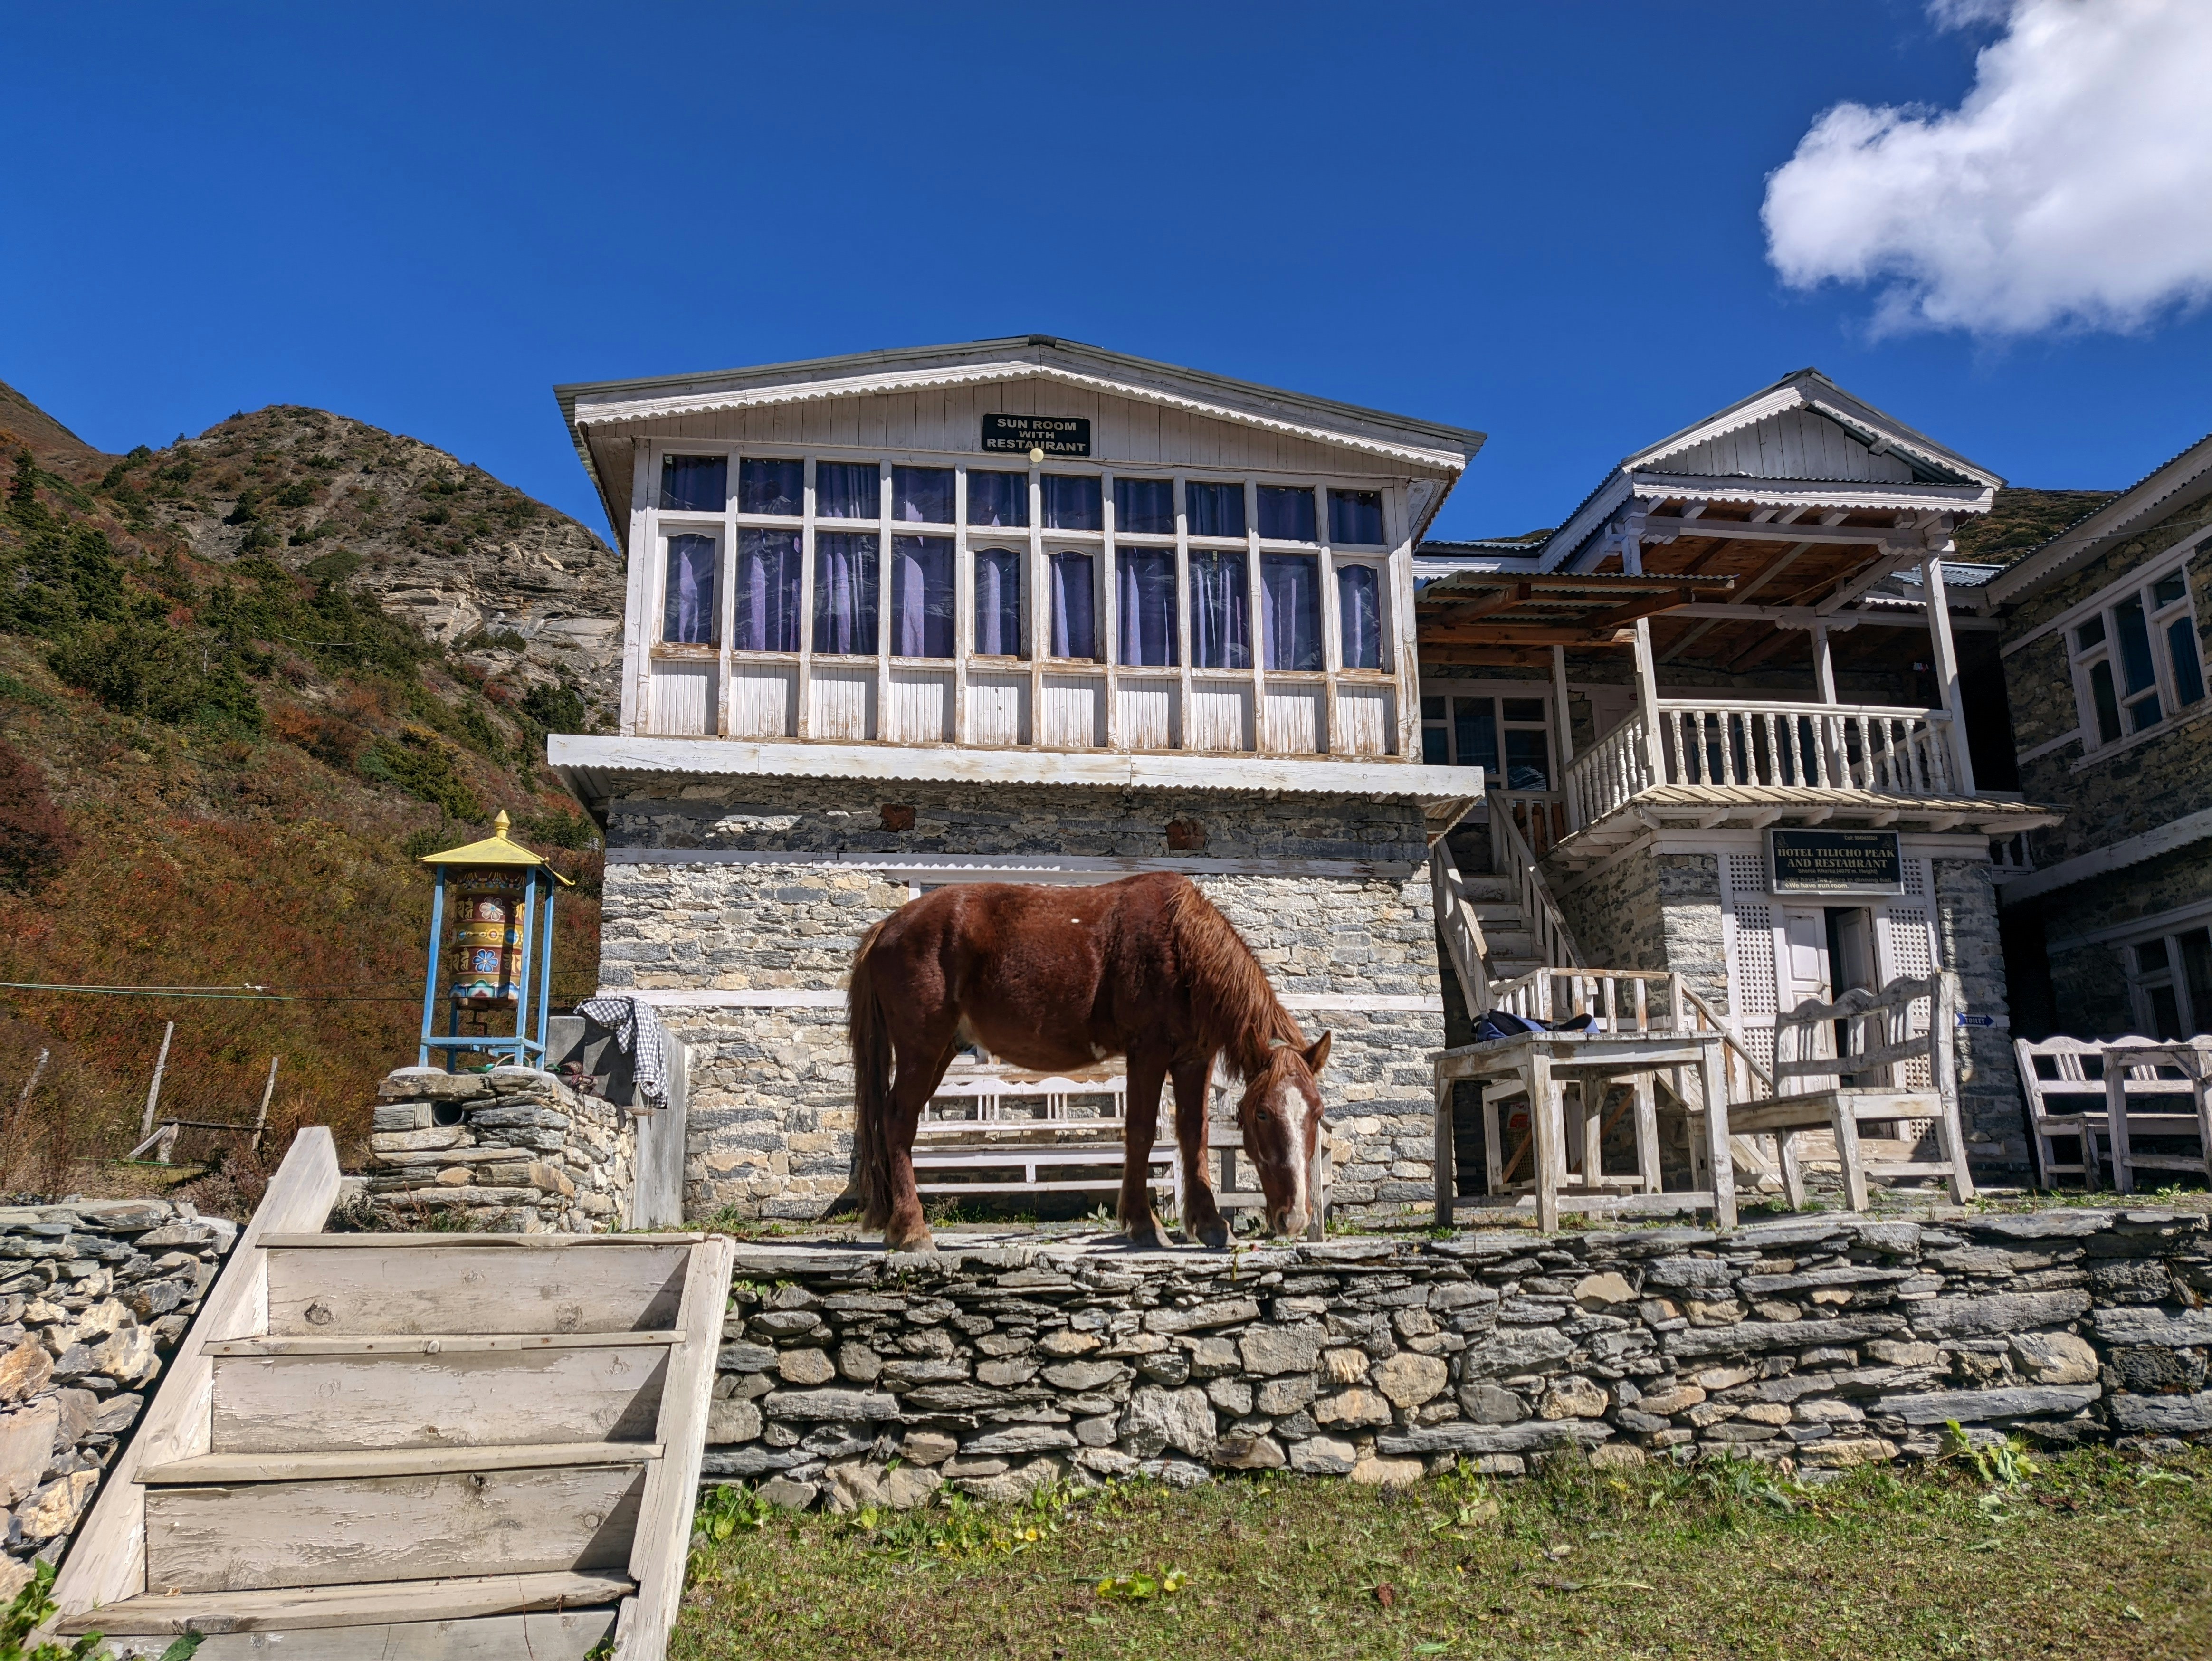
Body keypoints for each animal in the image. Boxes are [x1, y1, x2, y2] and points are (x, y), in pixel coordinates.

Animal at [846, 872, 1331, 1253]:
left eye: (1316, 1112)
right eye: (1262, 1113)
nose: (1294, 1219)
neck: (1180, 946)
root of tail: (887, 927)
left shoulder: (1195, 1058)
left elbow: (1194, 1134)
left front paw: (1211, 1225)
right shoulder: (1148, 1052)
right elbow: (1140, 1131)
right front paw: (1144, 1225)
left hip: (941, 1051)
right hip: (921, 1050)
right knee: (898, 1120)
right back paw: (912, 1230)